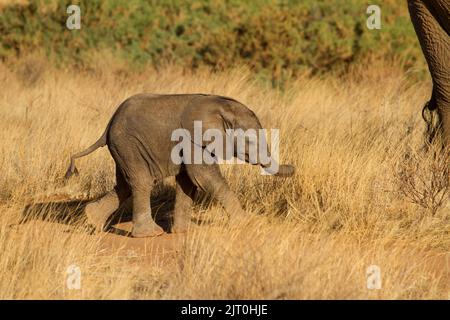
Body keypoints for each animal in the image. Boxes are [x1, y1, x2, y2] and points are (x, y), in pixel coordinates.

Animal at [64, 93, 296, 238]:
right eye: (250, 142)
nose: (295, 167)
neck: (220, 106)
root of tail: (108, 126)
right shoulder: (192, 137)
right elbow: (203, 176)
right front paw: (245, 224)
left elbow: (188, 181)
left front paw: (184, 232)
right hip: (129, 144)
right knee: (141, 182)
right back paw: (150, 234)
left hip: (123, 148)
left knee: (124, 185)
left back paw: (92, 220)